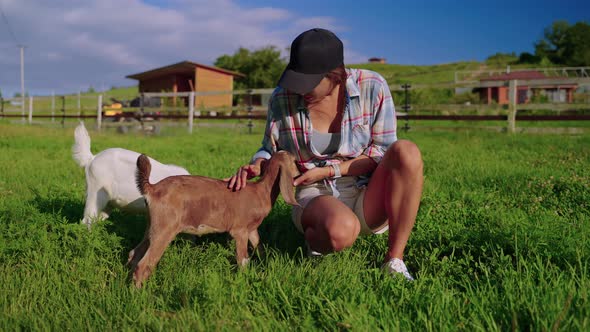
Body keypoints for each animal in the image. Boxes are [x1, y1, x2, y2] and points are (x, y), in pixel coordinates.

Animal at [126, 150, 298, 288]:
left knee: (134, 253)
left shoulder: (252, 229)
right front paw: (242, 281)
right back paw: (139, 295)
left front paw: (265, 267)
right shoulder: (240, 230)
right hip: (165, 228)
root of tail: (152, 189)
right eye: (295, 160)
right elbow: (243, 259)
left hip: (153, 226)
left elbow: (259, 247)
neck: (261, 191)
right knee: (144, 264)